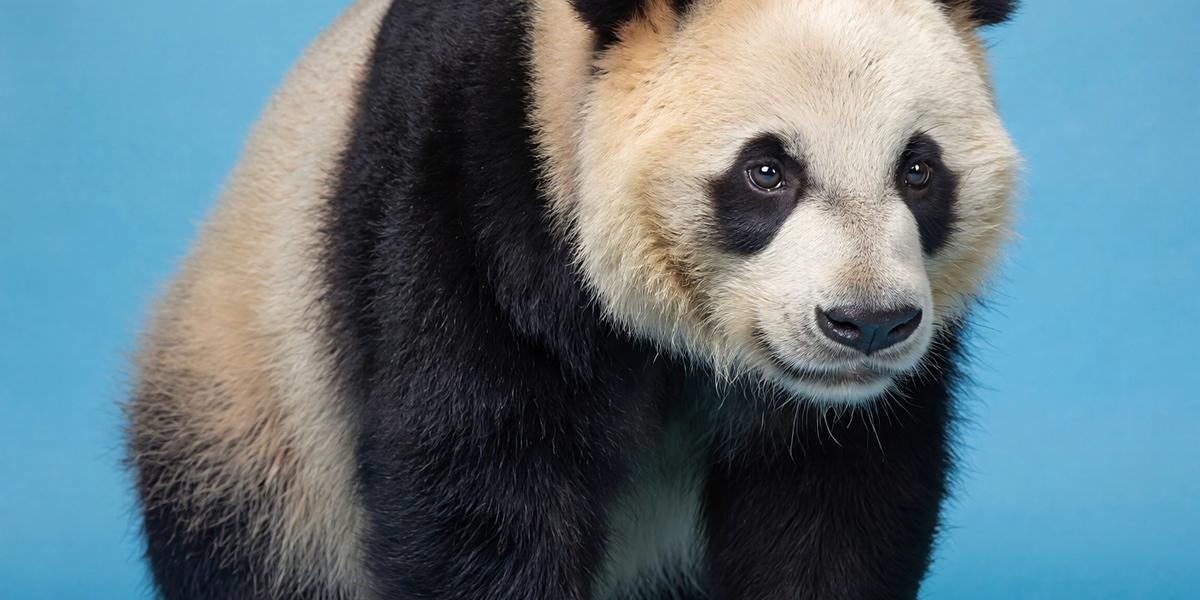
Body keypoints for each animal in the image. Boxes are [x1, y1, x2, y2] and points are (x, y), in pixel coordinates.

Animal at [126, 0, 1020, 598]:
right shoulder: (473, 204)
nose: (867, 324)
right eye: (767, 171)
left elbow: (833, 507)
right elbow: (481, 492)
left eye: (919, 169)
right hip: (253, 425)